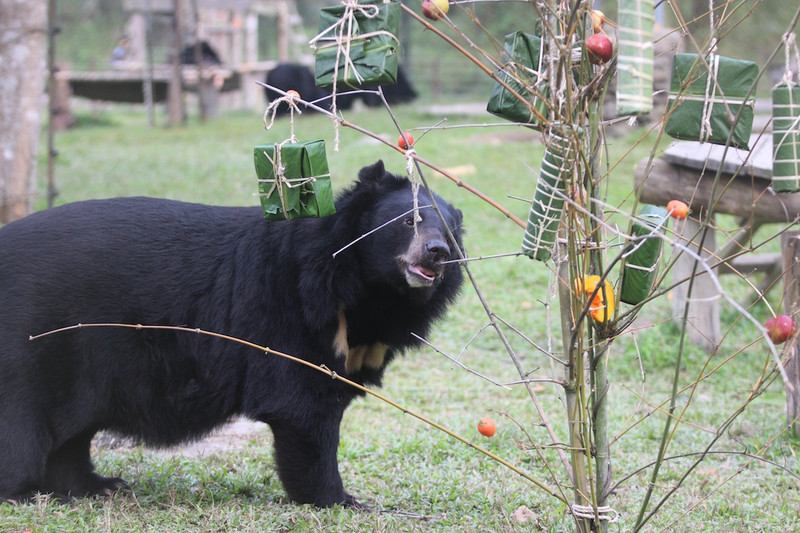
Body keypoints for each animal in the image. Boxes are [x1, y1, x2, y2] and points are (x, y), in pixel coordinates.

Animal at [0, 161, 462, 508]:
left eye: (450, 232)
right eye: (409, 221)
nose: (437, 253)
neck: (365, 290)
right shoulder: (291, 318)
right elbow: (302, 411)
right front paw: (340, 500)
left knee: (71, 436)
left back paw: (97, 486)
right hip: (31, 346)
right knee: (23, 432)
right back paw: (28, 492)